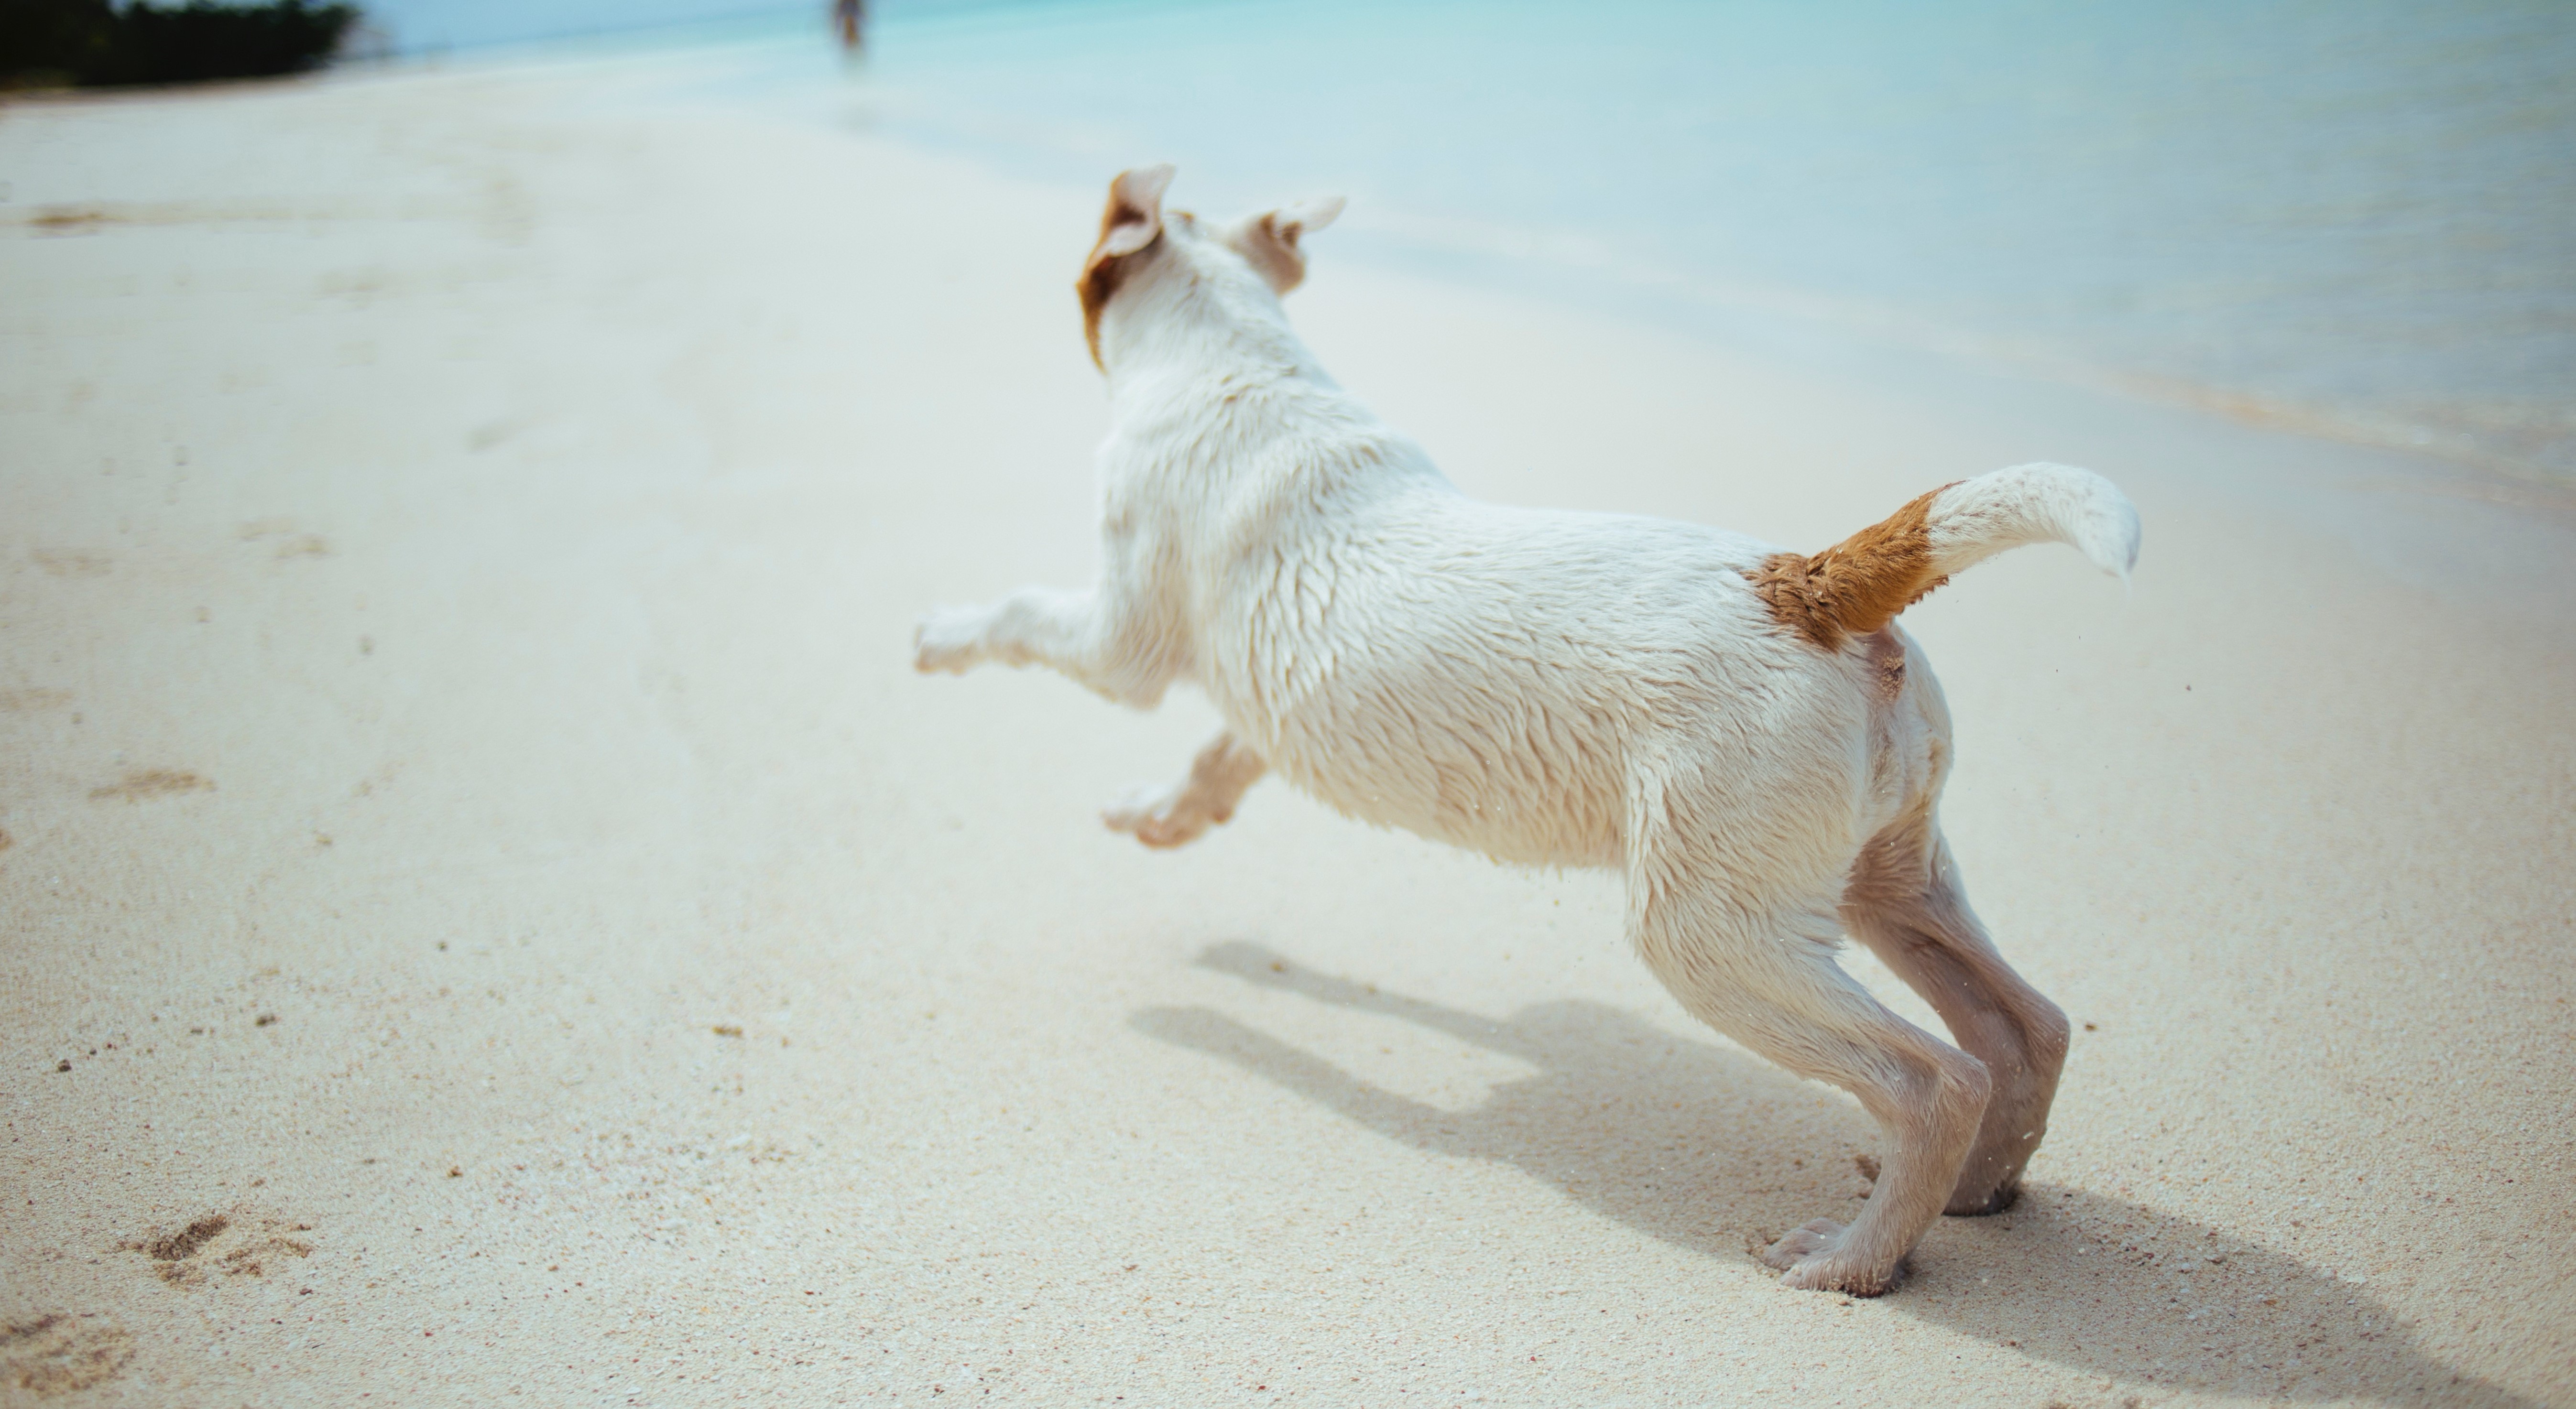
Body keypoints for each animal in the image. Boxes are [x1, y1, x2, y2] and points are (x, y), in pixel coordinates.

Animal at [917, 160, 2143, 1298]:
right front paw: (1162, 817)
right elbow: (1221, 757)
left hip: (1711, 932)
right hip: (1885, 879)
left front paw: (939, 636)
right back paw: (1979, 1193)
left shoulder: (1120, 642)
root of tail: (1807, 584)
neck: (1235, 364)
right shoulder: (1266, 696)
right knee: (2024, 1028)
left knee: (1932, 1077)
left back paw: (1855, 1257)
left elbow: (1023, 617)